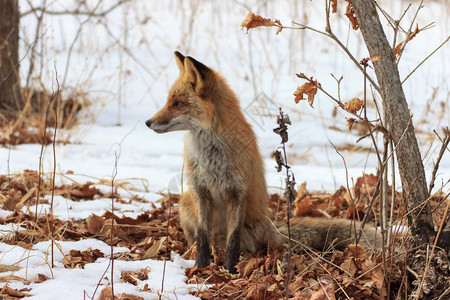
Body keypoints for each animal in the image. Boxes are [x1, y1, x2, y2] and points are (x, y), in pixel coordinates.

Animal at [146, 52, 382, 274]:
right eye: (169, 101)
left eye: (178, 103)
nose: (148, 122)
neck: (212, 157)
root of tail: (274, 228)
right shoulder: (200, 191)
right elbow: (203, 238)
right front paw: (200, 266)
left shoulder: (237, 192)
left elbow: (233, 241)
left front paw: (230, 270)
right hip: (186, 204)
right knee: (201, 240)